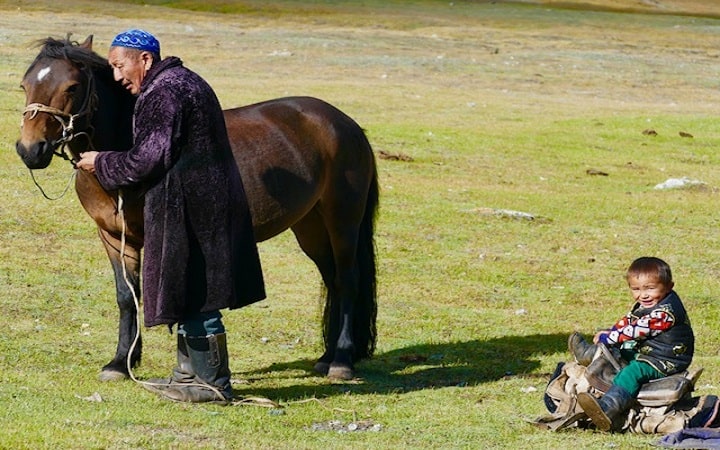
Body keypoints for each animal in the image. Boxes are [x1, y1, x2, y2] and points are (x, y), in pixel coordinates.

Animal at [15, 35, 376, 382]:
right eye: (24, 84)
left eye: (71, 87)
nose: (30, 150)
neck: (125, 146)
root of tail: (345, 124)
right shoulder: (114, 237)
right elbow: (127, 297)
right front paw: (121, 363)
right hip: (310, 227)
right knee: (332, 281)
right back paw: (327, 356)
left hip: (342, 222)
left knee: (348, 280)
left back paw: (341, 361)